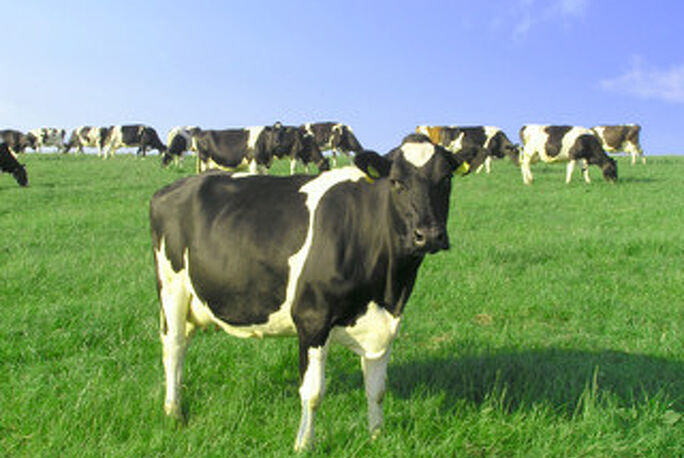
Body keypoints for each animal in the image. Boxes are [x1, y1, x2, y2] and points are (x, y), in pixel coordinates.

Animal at [149, 133, 469, 451]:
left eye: (446, 178)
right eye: (397, 182)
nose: (429, 235)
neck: (389, 287)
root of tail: (172, 188)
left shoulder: (385, 324)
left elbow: (377, 389)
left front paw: (377, 437)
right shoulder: (312, 319)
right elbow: (313, 392)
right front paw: (303, 444)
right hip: (171, 288)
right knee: (173, 346)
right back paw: (174, 413)